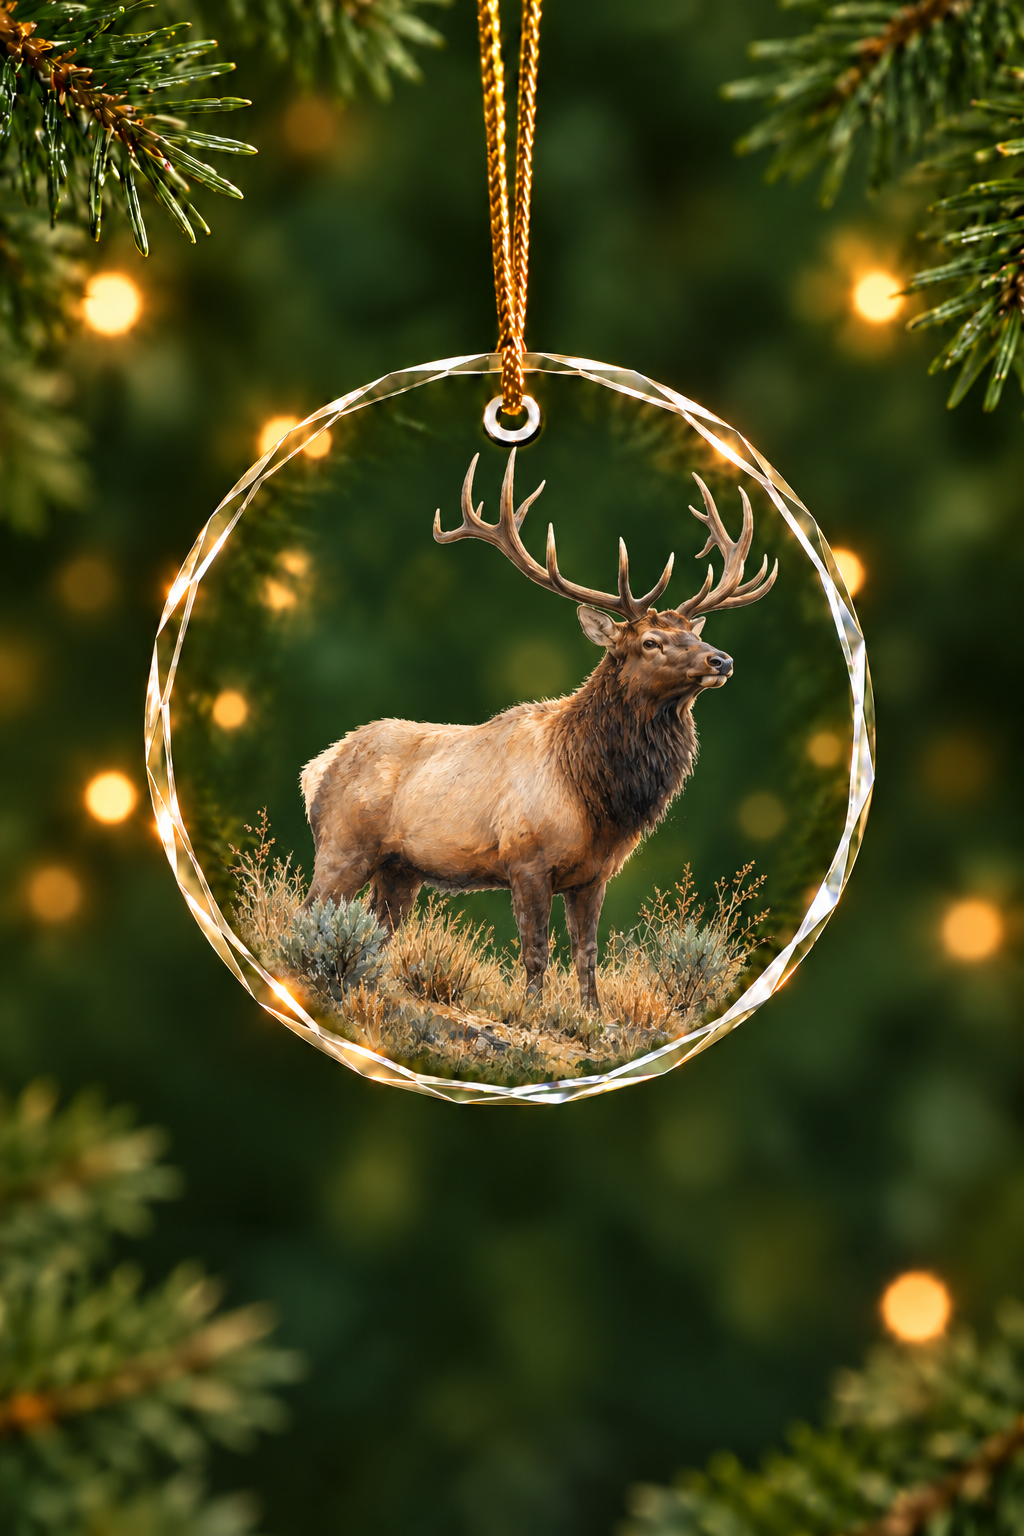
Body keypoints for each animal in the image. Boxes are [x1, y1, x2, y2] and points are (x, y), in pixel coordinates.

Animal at [300, 448, 777, 1013]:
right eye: (651, 641)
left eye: (692, 633)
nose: (721, 659)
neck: (596, 797)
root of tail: (316, 767)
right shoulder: (525, 858)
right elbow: (536, 951)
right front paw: (533, 1011)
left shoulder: (593, 875)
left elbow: (587, 954)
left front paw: (593, 1017)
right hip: (342, 844)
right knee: (309, 913)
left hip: (400, 869)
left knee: (376, 930)